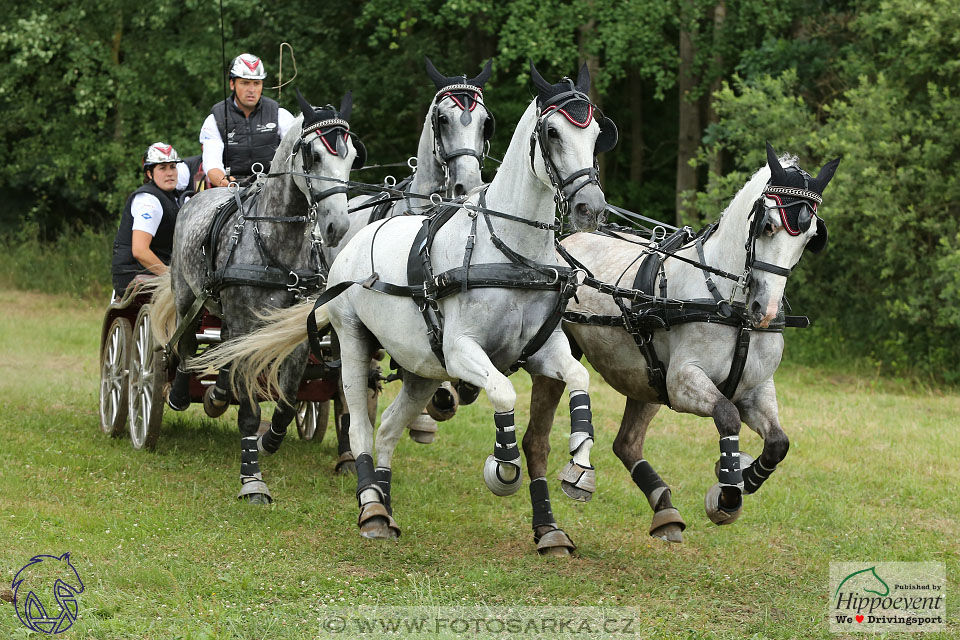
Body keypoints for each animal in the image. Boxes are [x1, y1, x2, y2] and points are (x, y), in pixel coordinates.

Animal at [152, 90, 362, 504]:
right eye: (313, 155)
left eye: (350, 157)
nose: (338, 227)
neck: (277, 243)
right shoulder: (245, 323)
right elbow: (248, 409)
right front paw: (252, 479)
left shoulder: (297, 329)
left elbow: (288, 398)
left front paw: (268, 440)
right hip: (189, 296)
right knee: (185, 346)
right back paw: (182, 391)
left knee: (221, 352)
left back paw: (217, 393)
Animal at [191, 61, 620, 544]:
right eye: (551, 132)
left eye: (597, 132)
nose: (590, 206)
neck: (511, 251)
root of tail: (351, 242)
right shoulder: (462, 350)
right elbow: (503, 391)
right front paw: (504, 464)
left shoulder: (542, 349)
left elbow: (578, 378)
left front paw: (579, 468)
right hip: (354, 343)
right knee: (360, 424)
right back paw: (370, 506)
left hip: (420, 369)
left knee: (389, 428)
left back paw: (384, 500)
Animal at [524, 144, 840, 552]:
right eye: (768, 226)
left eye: (810, 237)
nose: (766, 311)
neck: (731, 307)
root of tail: (565, 244)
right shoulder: (683, 382)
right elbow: (727, 416)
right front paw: (726, 495)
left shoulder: (754, 388)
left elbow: (778, 443)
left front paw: (742, 477)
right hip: (564, 361)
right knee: (536, 441)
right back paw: (549, 529)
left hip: (645, 378)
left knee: (627, 443)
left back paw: (665, 511)